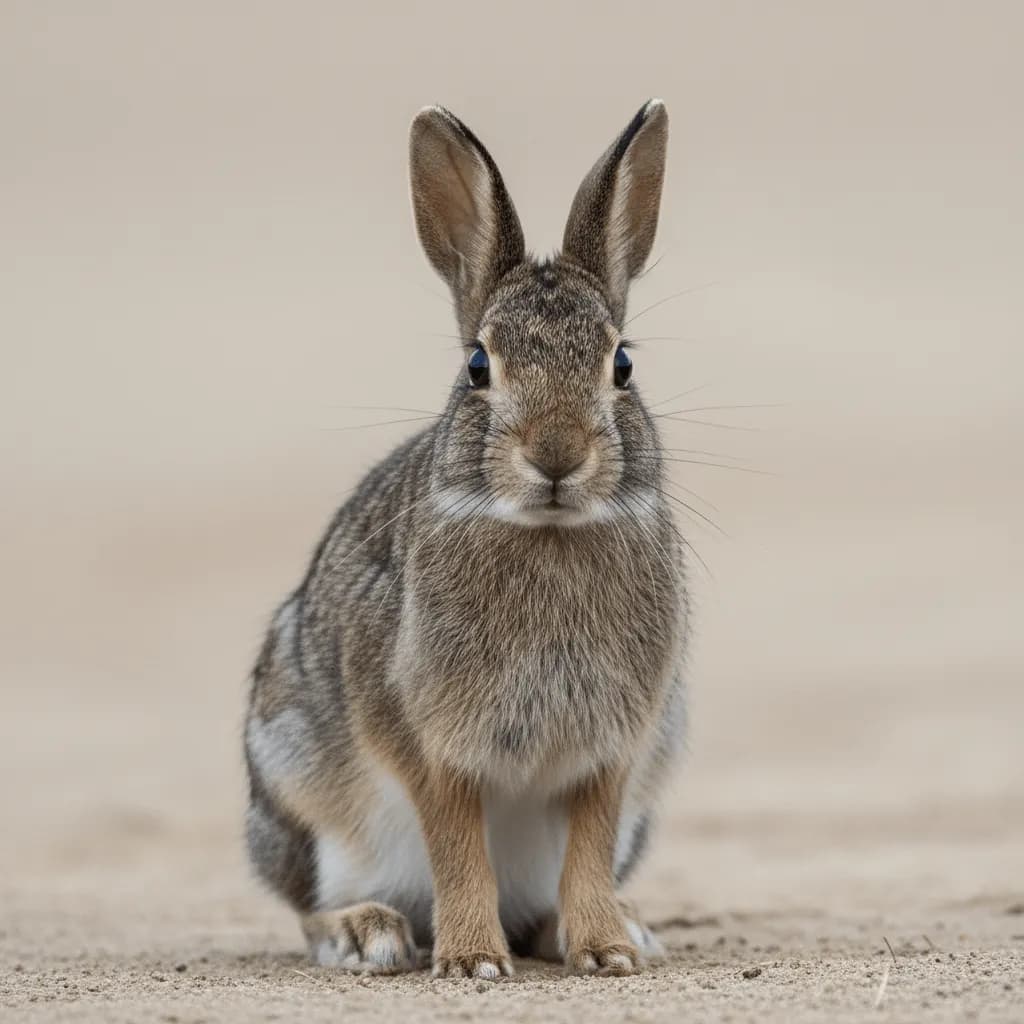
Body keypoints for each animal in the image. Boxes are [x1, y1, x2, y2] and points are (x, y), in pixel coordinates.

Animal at [244, 99, 689, 980]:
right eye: (479, 367)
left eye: (621, 365)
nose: (556, 455)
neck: (546, 528)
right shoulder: (427, 738)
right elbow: (455, 845)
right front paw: (474, 960)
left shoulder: (615, 748)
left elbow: (588, 847)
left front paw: (605, 949)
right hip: (297, 791)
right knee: (309, 907)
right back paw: (367, 932)